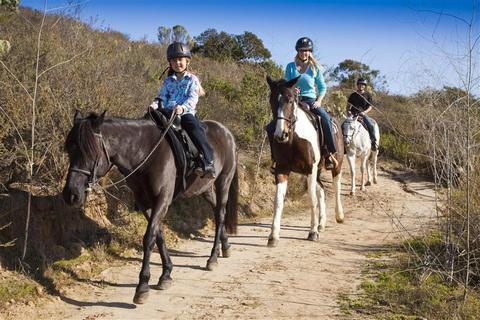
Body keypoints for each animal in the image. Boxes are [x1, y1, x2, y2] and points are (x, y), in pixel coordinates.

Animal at [62, 111, 238, 304]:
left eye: (91, 152)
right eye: (69, 149)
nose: (71, 195)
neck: (146, 153)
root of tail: (226, 131)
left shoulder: (162, 199)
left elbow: (149, 237)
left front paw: (142, 287)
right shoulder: (144, 202)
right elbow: (158, 235)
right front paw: (166, 274)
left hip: (223, 181)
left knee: (220, 214)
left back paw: (212, 258)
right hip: (205, 188)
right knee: (216, 211)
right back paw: (226, 246)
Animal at [266, 76, 344, 246]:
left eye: (290, 100)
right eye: (272, 100)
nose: (281, 134)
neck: (293, 139)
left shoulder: (310, 169)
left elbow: (311, 199)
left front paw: (312, 232)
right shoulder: (282, 169)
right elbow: (278, 201)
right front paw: (273, 236)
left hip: (336, 165)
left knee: (336, 186)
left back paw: (339, 216)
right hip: (318, 170)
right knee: (321, 189)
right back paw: (321, 223)